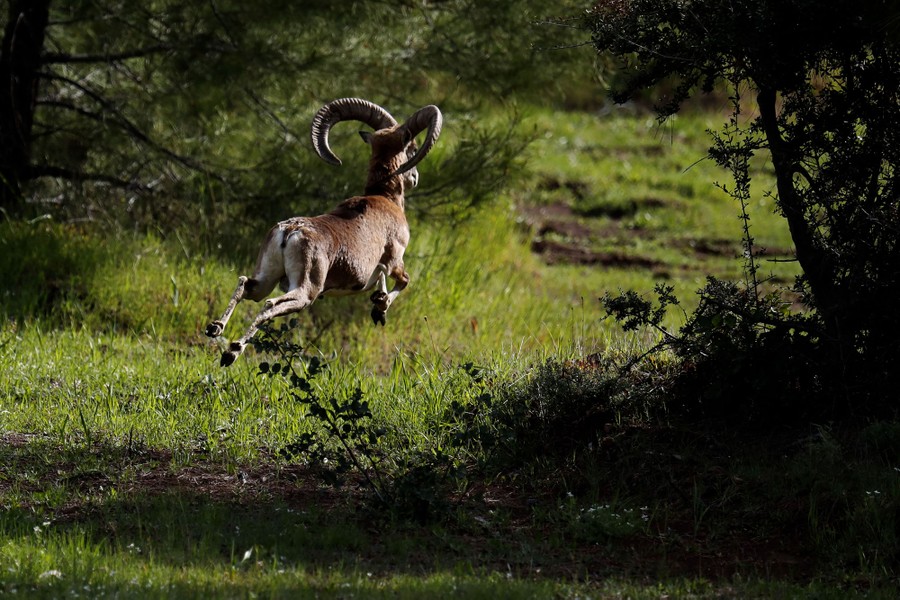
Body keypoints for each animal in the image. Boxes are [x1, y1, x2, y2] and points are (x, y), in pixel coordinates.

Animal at [205, 97, 443, 366]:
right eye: (412, 147)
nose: (415, 177)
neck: (384, 198)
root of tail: (290, 232)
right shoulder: (395, 260)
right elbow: (403, 281)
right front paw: (380, 308)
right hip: (305, 291)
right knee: (269, 304)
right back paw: (232, 351)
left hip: (267, 277)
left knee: (246, 285)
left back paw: (215, 328)